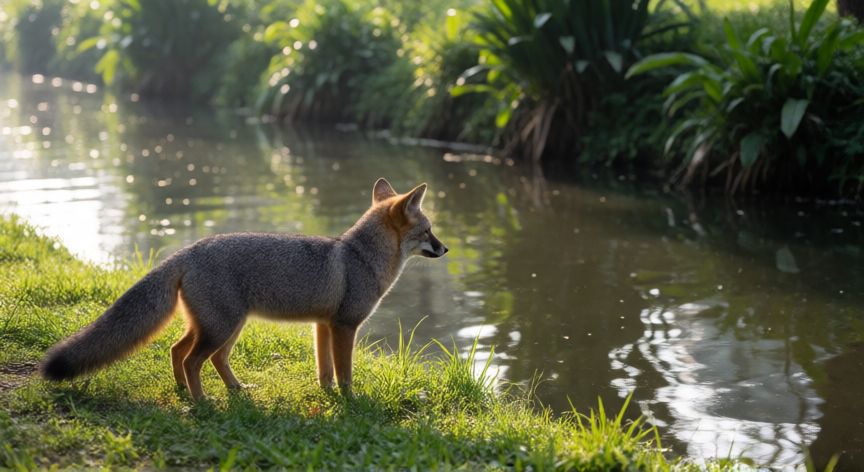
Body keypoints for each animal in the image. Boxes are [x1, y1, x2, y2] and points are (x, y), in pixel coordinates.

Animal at [40, 178, 448, 401]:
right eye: (429, 232)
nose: (445, 249)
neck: (359, 257)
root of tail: (189, 250)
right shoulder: (345, 327)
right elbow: (344, 371)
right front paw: (351, 400)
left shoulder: (322, 326)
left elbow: (325, 370)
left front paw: (328, 395)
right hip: (221, 328)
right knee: (191, 359)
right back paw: (201, 401)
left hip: (221, 327)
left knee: (184, 352)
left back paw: (208, 391)